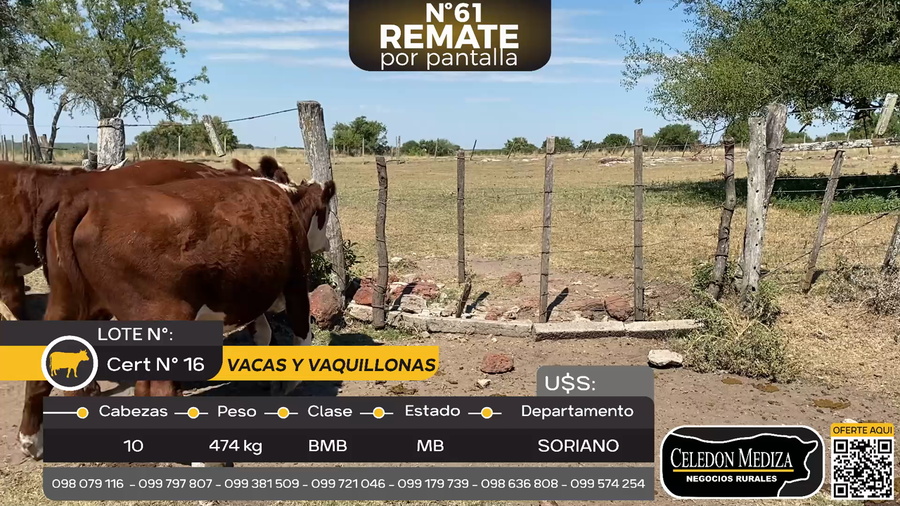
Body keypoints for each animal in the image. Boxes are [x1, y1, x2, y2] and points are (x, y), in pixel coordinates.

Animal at [18, 174, 336, 460]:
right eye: (326, 212)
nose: (329, 244)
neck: (288, 203)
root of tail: (90, 200)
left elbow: (263, 334)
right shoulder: (295, 284)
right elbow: (301, 335)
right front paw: (288, 384)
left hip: (66, 303)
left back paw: (31, 441)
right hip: (163, 315)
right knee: (162, 389)